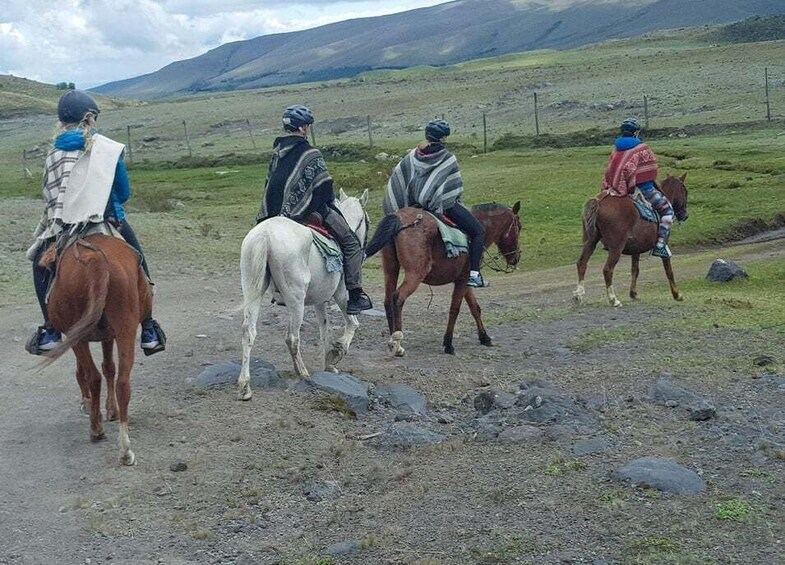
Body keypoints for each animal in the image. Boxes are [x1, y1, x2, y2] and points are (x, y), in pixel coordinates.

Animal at [41, 235, 153, 468]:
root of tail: (95, 260)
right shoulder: (108, 335)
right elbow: (109, 367)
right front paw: (111, 410)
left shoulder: (78, 335)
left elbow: (87, 372)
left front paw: (92, 406)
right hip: (125, 327)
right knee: (122, 383)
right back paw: (125, 450)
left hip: (77, 335)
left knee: (93, 376)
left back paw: (96, 429)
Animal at [237, 187, 370, 398]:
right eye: (367, 219)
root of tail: (265, 234)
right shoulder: (342, 295)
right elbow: (352, 323)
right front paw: (336, 353)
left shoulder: (319, 301)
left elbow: (325, 329)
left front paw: (328, 364)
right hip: (297, 300)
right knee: (293, 338)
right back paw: (303, 372)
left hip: (255, 292)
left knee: (249, 332)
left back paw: (245, 387)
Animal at [362, 200, 520, 354]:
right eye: (519, 227)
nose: (516, 257)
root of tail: (399, 219)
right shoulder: (462, 281)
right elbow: (455, 309)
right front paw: (448, 344)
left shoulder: (464, 280)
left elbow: (475, 308)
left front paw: (484, 337)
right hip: (415, 273)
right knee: (398, 298)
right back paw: (398, 343)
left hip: (391, 270)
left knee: (388, 301)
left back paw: (392, 337)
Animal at [572, 174, 688, 306]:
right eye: (685, 192)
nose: (685, 215)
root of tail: (599, 202)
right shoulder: (664, 245)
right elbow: (669, 271)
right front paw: (677, 295)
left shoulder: (636, 250)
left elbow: (635, 270)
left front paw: (633, 293)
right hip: (616, 248)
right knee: (607, 270)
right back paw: (613, 299)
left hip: (590, 242)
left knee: (582, 264)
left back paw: (578, 295)